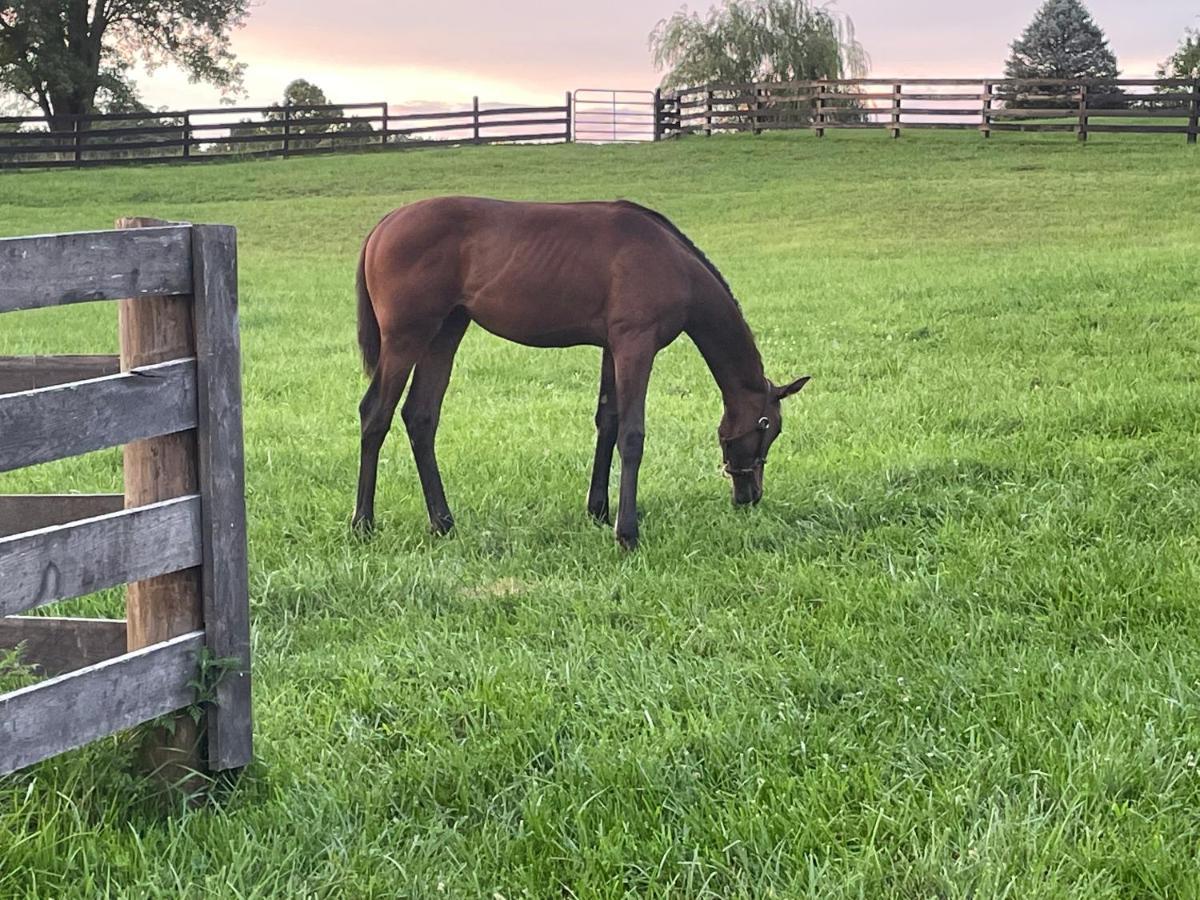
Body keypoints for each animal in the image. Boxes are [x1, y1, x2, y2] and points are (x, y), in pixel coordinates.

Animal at [350, 196, 811, 549]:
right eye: (768, 426)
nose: (750, 494)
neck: (670, 261)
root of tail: (383, 226)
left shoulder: (612, 346)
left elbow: (608, 420)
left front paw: (599, 510)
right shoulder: (635, 343)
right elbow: (632, 434)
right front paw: (627, 532)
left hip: (446, 331)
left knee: (420, 416)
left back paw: (442, 522)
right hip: (407, 337)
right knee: (375, 414)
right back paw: (363, 523)